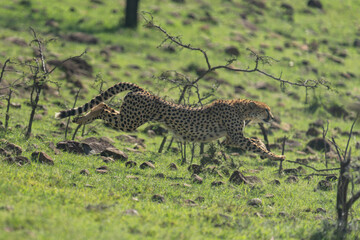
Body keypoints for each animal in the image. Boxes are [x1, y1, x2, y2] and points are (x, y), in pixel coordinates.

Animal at [54, 82, 286, 161]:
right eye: (266, 110)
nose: (272, 117)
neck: (241, 109)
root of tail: (143, 90)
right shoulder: (236, 136)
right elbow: (253, 144)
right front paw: (276, 156)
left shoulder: (229, 139)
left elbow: (253, 141)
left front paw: (267, 148)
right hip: (130, 120)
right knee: (103, 107)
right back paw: (83, 117)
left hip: (128, 117)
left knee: (104, 105)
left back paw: (80, 118)